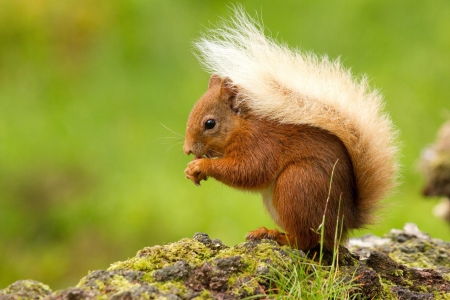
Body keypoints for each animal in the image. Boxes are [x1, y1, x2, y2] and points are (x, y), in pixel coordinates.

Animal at [182, 8, 398, 251]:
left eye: (210, 124)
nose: (187, 149)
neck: (242, 126)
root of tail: (345, 222)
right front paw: (191, 169)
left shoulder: (261, 144)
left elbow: (248, 171)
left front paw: (201, 166)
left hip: (296, 185)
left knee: (304, 241)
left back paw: (274, 235)